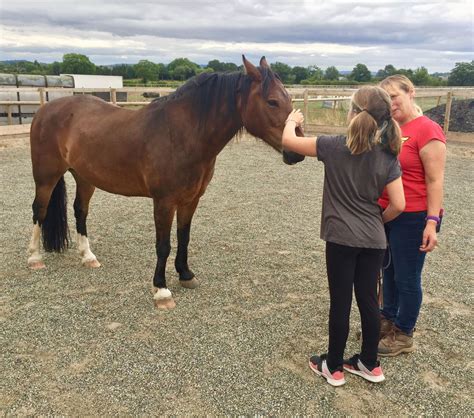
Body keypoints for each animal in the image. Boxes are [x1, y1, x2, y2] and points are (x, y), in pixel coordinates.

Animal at [28, 56, 304, 306]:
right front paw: (161, 290)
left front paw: (186, 274)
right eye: (272, 101)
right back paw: (34, 258)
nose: (297, 151)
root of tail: (44, 109)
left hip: (85, 177)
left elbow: (184, 237)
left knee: (80, 211)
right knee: (39, 210)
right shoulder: (163, 202)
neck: (183, 134)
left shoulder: (190, 200)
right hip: (46, 176)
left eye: (289, 99)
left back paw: (87, 256)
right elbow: (163, 244)